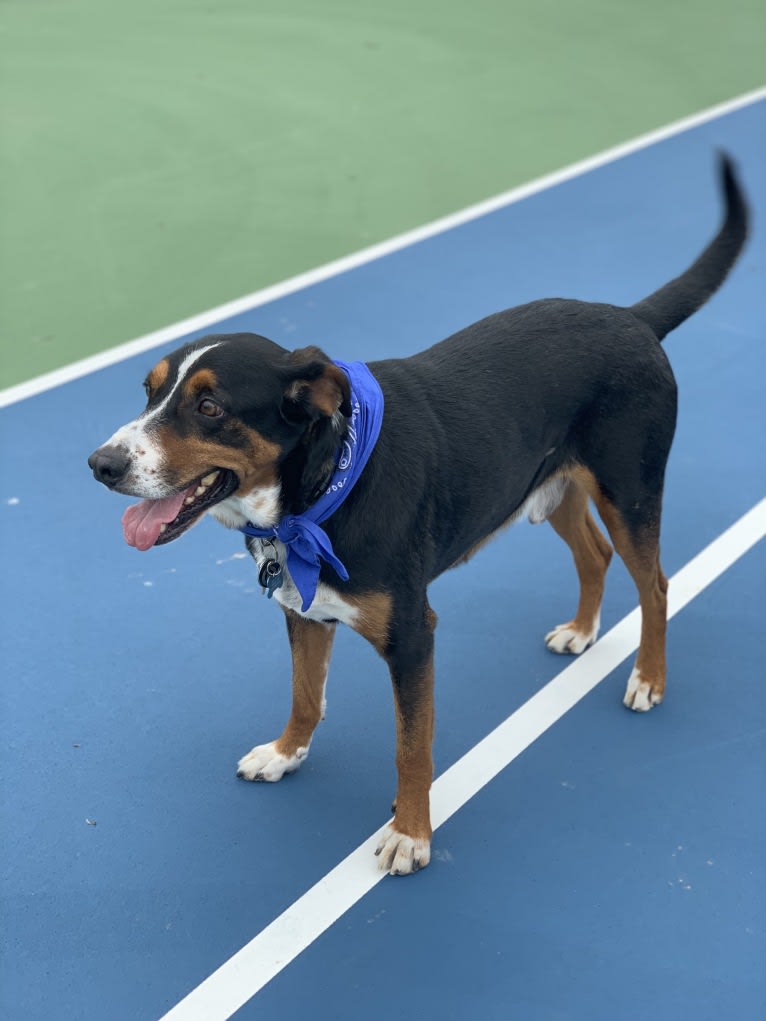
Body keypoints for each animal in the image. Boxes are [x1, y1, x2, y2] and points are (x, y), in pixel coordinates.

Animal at [88, 153, 751, 878]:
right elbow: (305, 694)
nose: (101, 463)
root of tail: (630, 316)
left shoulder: (412, 636)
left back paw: (648, 679)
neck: (325, 490)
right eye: (149, 392)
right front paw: (286, 753)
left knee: (655, 584)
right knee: (595, 556)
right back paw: (581, 631)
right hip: (550, 488)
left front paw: (410, 833)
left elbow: (411, 746)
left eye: (209, 407)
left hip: (629, 493)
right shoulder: (303, 609)